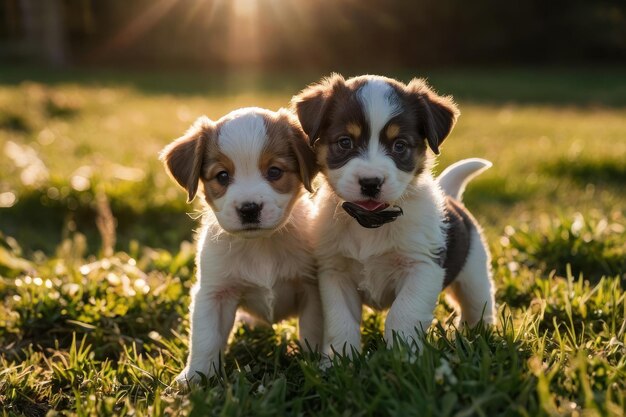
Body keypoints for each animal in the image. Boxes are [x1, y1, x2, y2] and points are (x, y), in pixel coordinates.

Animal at [161, 107, 322, 384]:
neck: (260, 245)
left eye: (274, 172)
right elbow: (206, 338)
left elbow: (312, 330)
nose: (249, 209)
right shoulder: (214, 294)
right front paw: (195, 376)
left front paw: (313, 362)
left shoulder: (310, 288)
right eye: (222, 176)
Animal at [290, 75, 494, 358]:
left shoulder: (422, 267)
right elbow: (340, 321)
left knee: (478, 306)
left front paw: (403, 356)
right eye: (345, 142)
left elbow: (402, 314)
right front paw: (338, 360)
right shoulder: (334, 272)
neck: (370, 224)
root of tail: (451, 196)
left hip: (474, 275)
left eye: (399, 146)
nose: (371, 182)